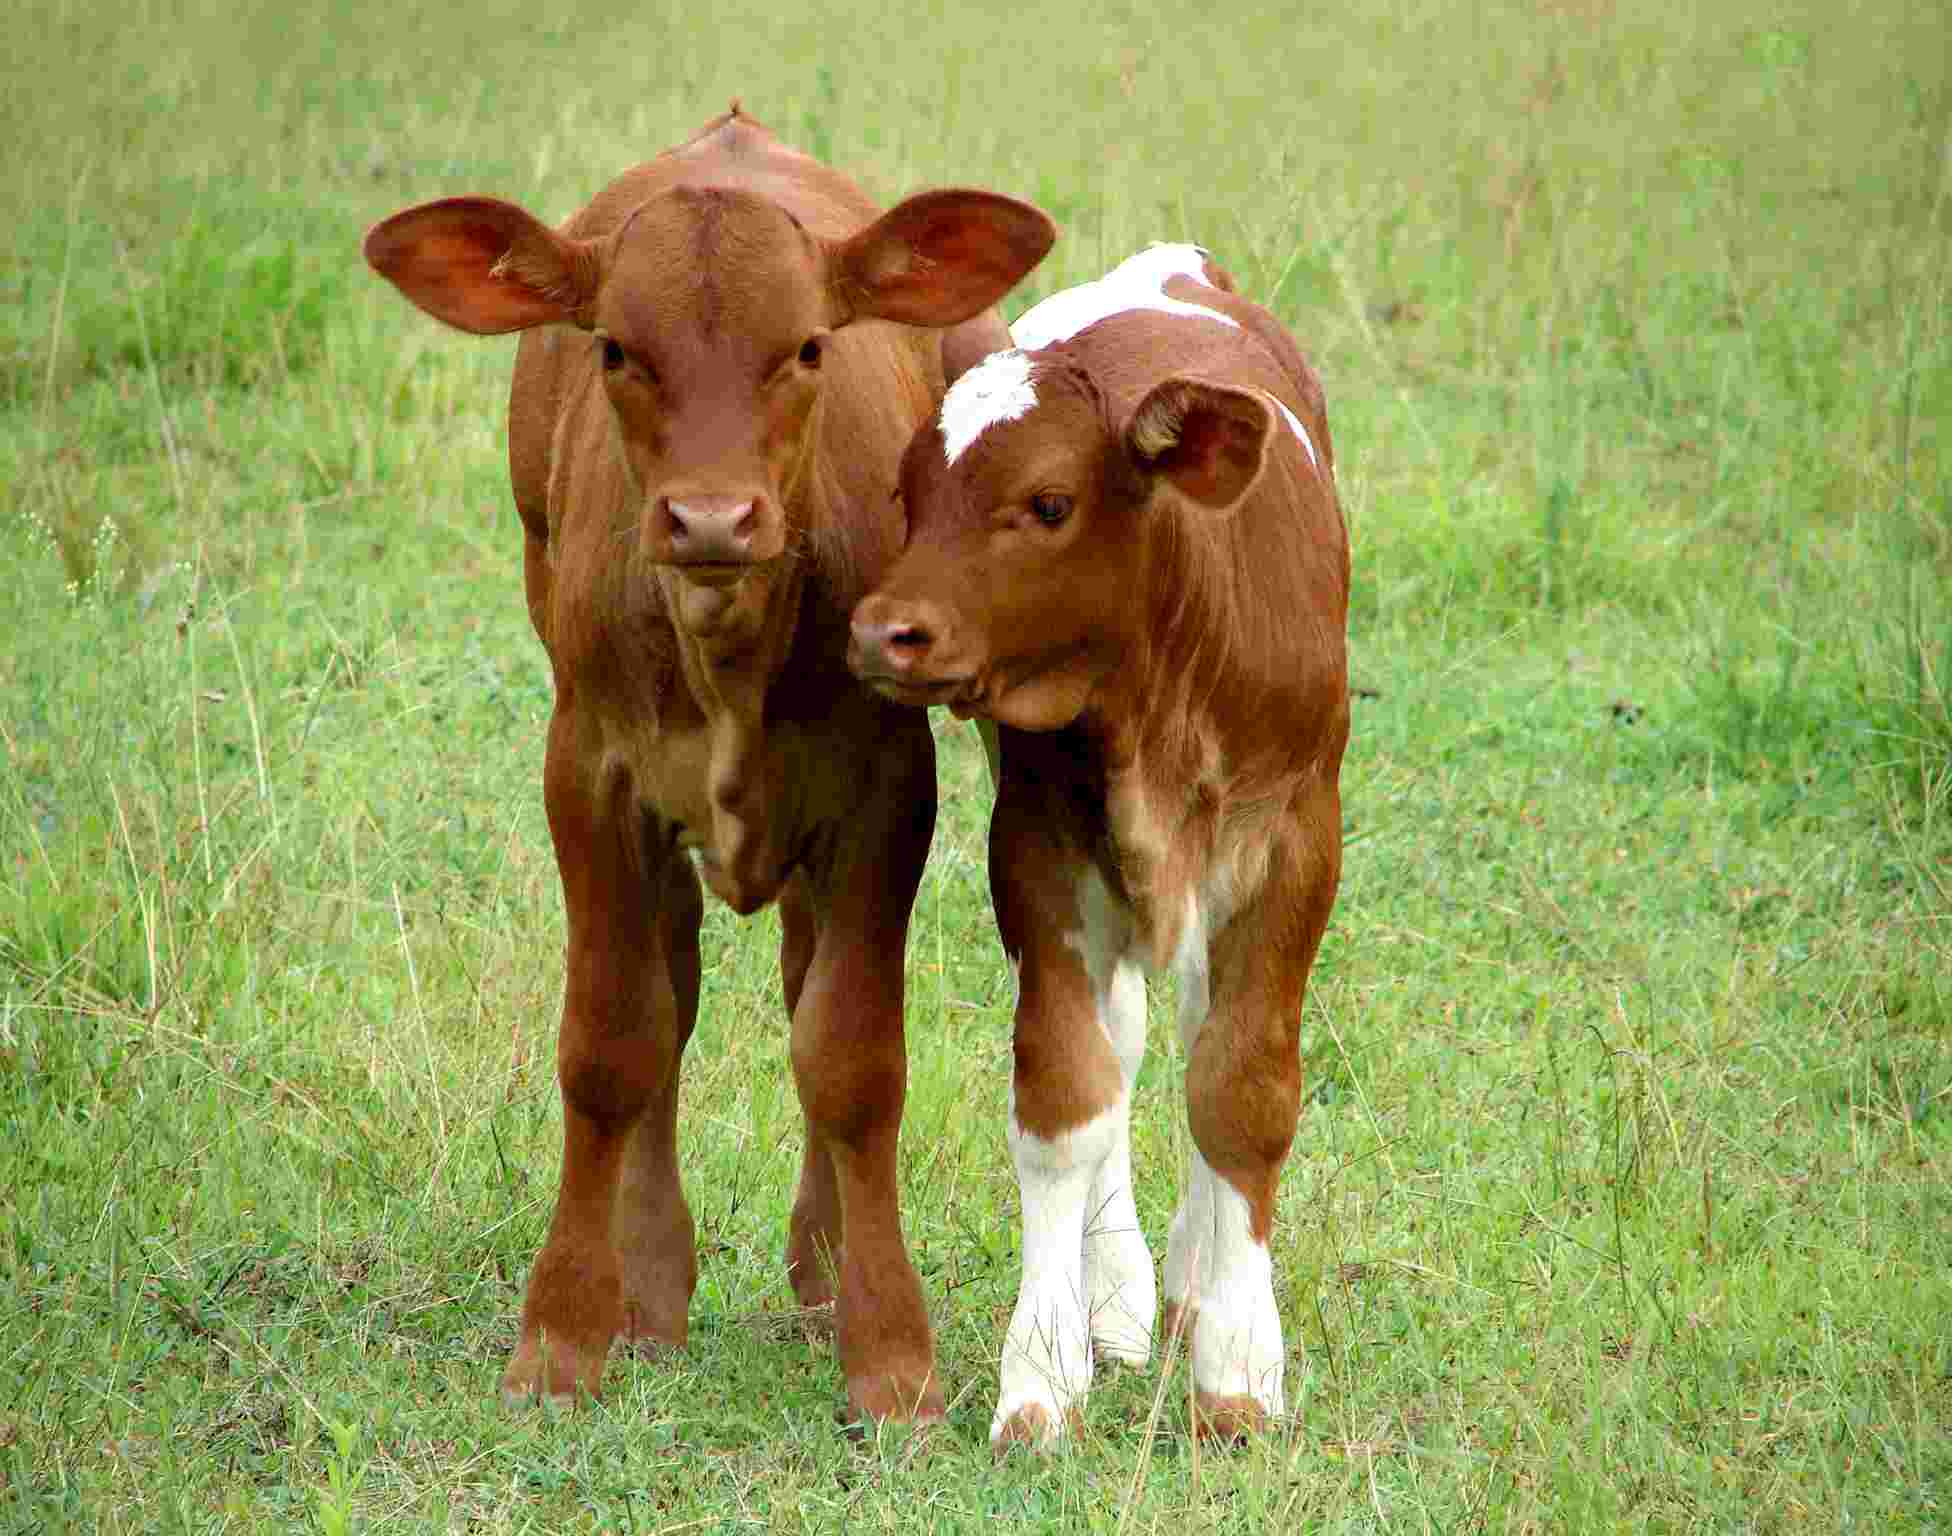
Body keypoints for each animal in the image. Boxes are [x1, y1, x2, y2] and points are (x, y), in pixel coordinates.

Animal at [362, 106, 1053, 1425]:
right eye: (618, 350)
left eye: (808, 347)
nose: (712, 520)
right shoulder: (586, 773)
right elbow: (609, 1043)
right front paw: (562, 1335)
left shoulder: (884, 785)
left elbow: (849, 1056)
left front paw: (890, 1356)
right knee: (671, 990)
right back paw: (651, 1287)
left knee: (795, 980)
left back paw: (821, 1272)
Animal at [849, 244, 1350, 1447]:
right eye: (907, 494)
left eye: (1047, 502)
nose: (884, 631)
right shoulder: (1037, 849)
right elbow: (1068, 1097)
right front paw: (1041, 1374)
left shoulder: (1294, 849)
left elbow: (1241, 1092)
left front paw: (1236, 1368)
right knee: (1125, 1042)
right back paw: (1120, 1296)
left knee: (1201, 1029)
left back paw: (1194, 1282)